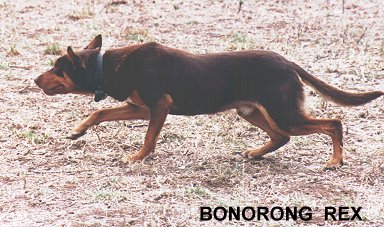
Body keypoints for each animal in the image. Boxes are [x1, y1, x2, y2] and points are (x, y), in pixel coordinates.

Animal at [34, 34, 382, 168]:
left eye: (57, 69)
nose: (35, 80)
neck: (106, 66)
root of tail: (288, 63)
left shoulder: (158, 106)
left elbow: (149, 138)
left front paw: (138, 158)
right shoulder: (139, 107)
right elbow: (100, 114)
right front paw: (78, 130)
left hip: (284, 114)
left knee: (333, 123)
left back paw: (336, 161)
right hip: (252, 111)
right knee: (280, 138)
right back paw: (255, 153)